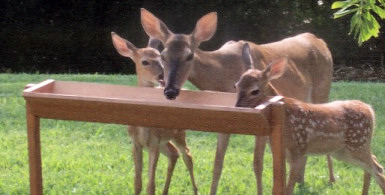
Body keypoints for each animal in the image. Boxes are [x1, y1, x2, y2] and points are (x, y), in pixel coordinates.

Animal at [111, 32, 198, 195]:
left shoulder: (154, 143)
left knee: (187, 155)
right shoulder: (136, 143)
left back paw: (196, 190)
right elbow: (137, 183)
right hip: (165, 140)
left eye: (161, 58)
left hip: (179, 133)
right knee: (174, 153)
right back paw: (165, 192)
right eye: (145, 62)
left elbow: (150, 186)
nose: (163, 76)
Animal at [139, 8, 332, 194]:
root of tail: (320, 41)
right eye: (162, 56)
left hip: (322, 92)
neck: (222, 74)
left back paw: (330, 179)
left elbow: (257, 164)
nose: (170, 90)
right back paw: (300, 180)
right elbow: (217, 164)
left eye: (189, 56)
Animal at [232, 55, 384, 194]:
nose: (238, 107)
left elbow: (288, 189)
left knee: (377, 168)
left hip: (358, 143)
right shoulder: (285, 153)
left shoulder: (298, 149)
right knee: (373, 163)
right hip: (342, 151)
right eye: (236, 86)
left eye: (255, 91)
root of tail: (370, 109)